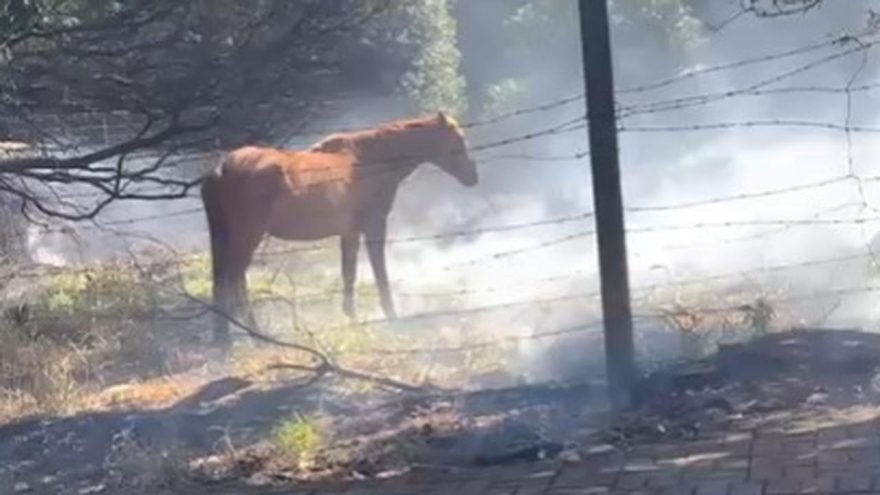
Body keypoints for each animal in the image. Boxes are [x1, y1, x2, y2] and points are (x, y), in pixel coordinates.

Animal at [200, 112, 479, 344]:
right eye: (457, 140)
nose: (473, 177)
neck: (370, 161)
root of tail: (222, 168)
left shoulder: (349, 232)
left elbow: (349, 274)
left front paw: (351, 317)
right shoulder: (374, 228)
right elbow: (380, 273)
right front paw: (391, 316)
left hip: (224, 236)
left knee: (222, 281)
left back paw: (223, 338)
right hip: (248, 236)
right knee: (235, 280)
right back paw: (256, 333)